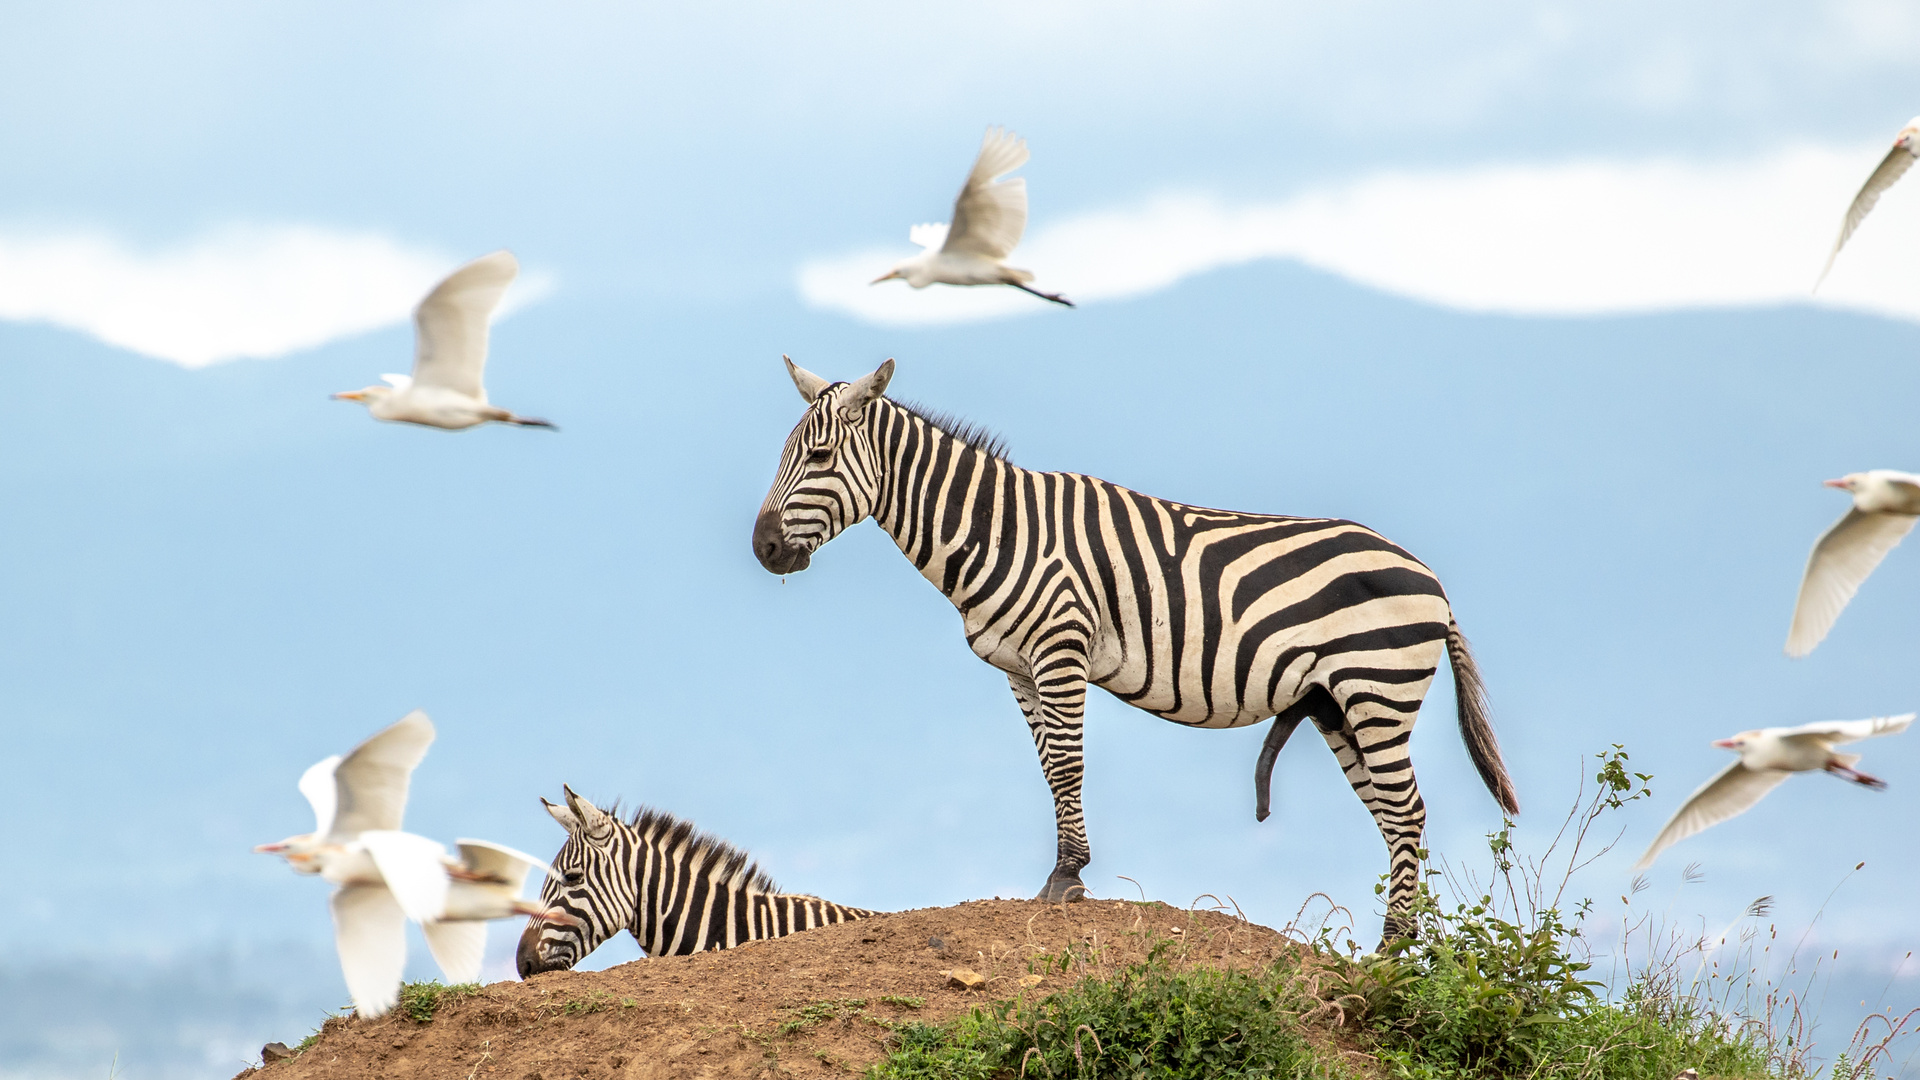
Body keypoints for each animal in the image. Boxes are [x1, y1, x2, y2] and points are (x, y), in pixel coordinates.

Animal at [748, 357, 1512, 930]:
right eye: (782, 455)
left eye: (818, 456)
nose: (763, 549)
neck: (997, 530)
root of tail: (1430, 579)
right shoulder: (1017, 669)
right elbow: (1048, 769)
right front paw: (1064, 873)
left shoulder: (1059, 648)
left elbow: (1067, 766)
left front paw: (1067, 879)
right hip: (1336, 705)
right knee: (1393, 818)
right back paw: (1409, 955)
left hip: (1377, 689)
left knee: (1407, 812)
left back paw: (1394, 952)